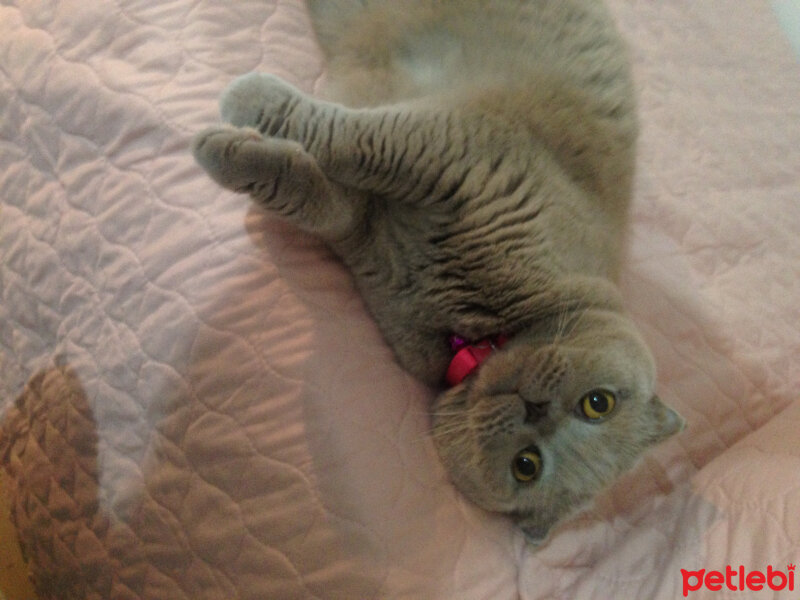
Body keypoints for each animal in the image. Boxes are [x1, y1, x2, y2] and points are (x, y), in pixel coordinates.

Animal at [191, 0, 684, 544]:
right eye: (599, 403)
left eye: (526, 465)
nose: (538, 410)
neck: (471, 327)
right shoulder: (457, 145)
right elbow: (352, 139)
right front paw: (249, 97)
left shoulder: (361, 225)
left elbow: (307, 190)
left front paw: (228, 148)